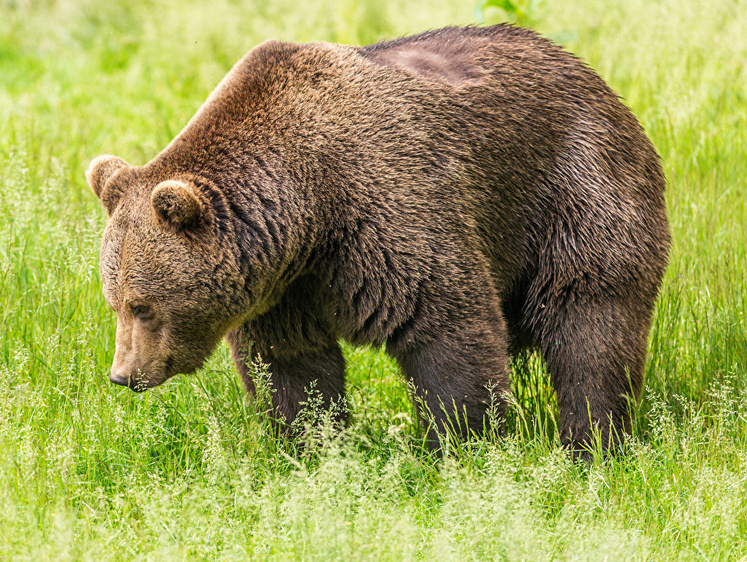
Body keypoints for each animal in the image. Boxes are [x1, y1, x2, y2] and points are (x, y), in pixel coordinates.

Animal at [87, 25, 672, 456]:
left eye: (142, 305)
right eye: (113, 301)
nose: (123, 375)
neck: (309, 208)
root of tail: (595, 78)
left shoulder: (389, 208)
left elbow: (448, 326)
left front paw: (460, 445)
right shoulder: (283, 287)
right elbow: (293, 368)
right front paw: (312, 448)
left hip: (574, 192)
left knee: (591, 323)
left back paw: (591, 444)